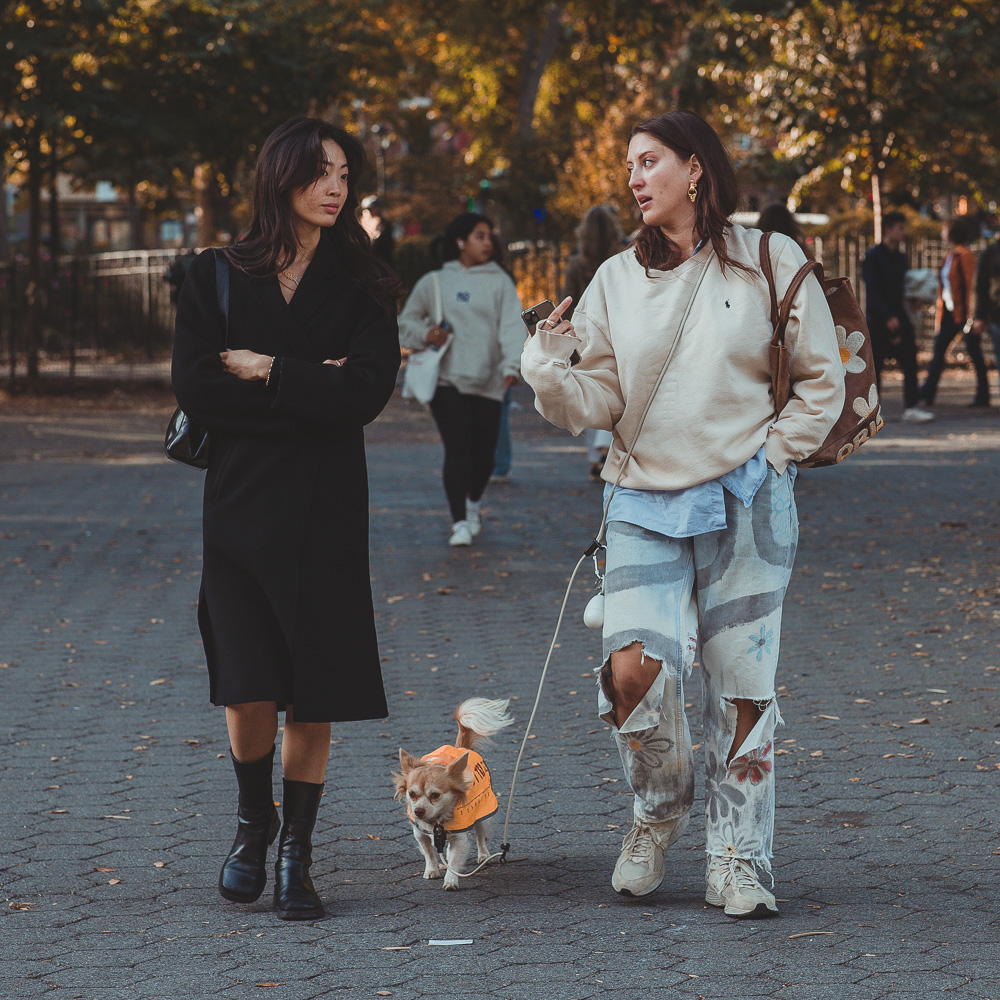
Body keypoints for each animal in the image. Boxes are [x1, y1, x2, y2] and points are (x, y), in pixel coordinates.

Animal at [394, 696, 512, 892]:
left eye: (435, 795)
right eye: (412, 794)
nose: (418, 811)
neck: (436, 821)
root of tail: (461, 748)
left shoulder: (460, 838)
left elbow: (455, 860)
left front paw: (450, 880)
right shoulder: (420, 833)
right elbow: (429, 853)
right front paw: (432, 870)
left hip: (482, 814)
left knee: (480, 836)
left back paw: (483, 855)